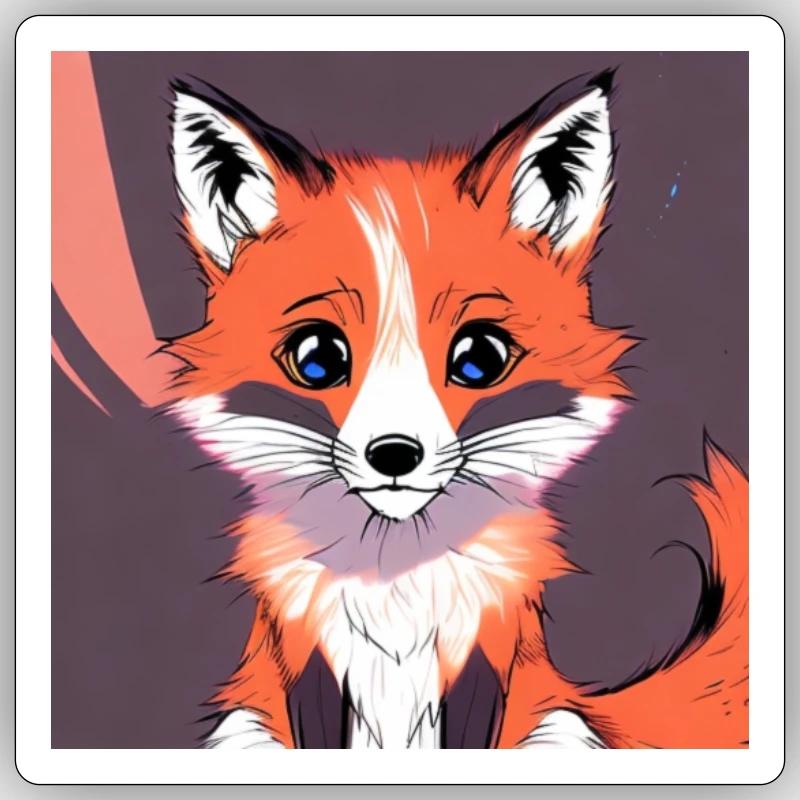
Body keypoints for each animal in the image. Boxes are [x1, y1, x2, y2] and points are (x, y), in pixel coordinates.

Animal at [158, 70, 748, 749]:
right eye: (317, 358)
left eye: (479, 358)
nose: (394, 455)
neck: (394, 582)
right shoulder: (307, 656)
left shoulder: (486, 654)